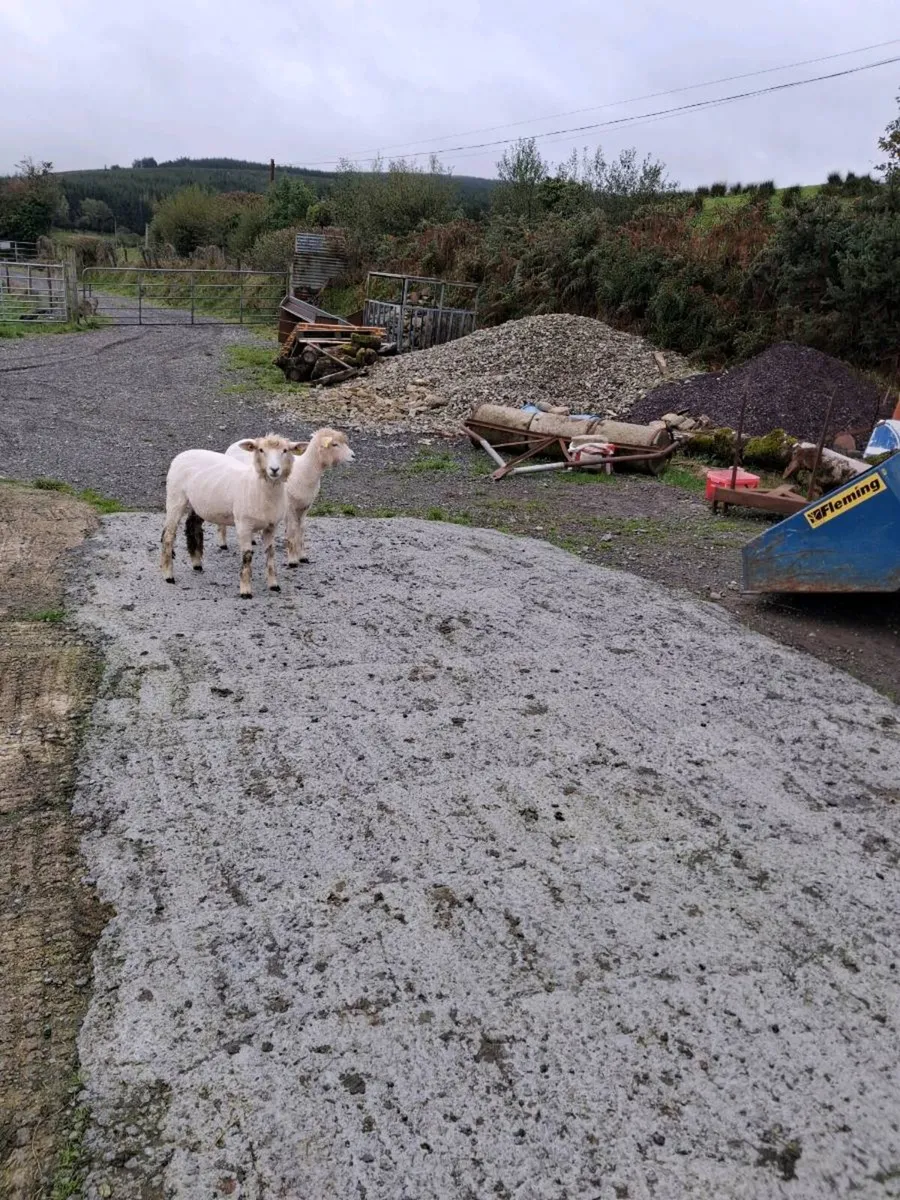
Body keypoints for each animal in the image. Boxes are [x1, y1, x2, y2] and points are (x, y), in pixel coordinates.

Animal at [160, 433, 304, 598]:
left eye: (285, 450)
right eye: (261, 450)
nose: (274, 469)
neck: (259, 487)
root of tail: (182, 454)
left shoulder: (271, 525)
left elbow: (270, 553)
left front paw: (274, 585)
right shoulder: (243, 524)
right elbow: (247, 556)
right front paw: (245, 590)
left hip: (200, 503)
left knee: (192, 525)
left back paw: (197, 563)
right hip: (175, 497)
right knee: (168, 535)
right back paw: (168, 575)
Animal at [217, 427, 354, 567]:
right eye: (334, 444)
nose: (353, 456)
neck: (306, 470)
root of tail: (236, 443)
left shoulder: (305, 506)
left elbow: (302, 528)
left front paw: (303, 556)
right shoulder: (290, 506)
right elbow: (292, 530)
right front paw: (293, 559)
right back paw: (223, 544)